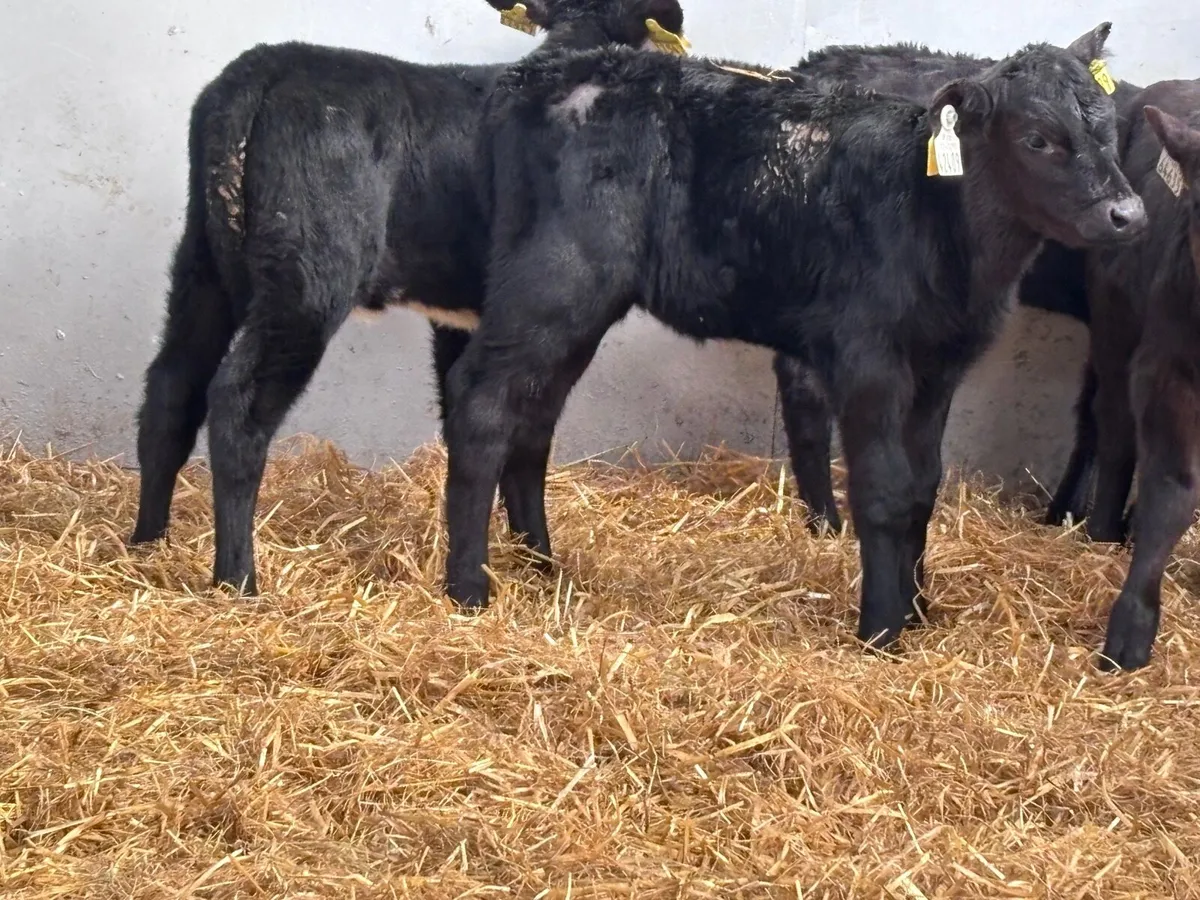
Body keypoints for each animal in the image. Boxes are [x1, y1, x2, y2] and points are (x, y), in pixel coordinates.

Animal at [127, 0, 688, 596]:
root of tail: (264, 68)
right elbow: (527, 429)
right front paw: (534, 562)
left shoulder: (467, 319)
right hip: (305, 280)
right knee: (237, 403)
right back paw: (237, 578)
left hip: (203, 264)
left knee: (171, 385)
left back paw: (147, 544)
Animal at [437, 29, 1146, 652]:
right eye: (1037, 139)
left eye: (1109, 130)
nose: (1129, 214)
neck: (934, 213)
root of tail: (535, 76)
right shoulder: (870, 358)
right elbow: (884, 489)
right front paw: (882, 631)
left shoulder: (938, 367)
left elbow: (923, 486)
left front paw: (918, 611)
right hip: (555, 279)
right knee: (481, 403)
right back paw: (468, 587)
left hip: (573, 303)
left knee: (534, 415)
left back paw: (540, 564)